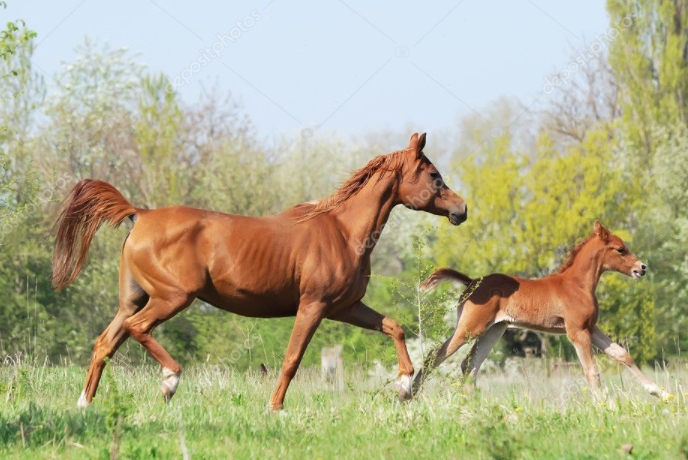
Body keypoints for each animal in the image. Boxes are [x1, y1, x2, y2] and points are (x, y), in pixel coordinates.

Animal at [52, 133, 468, 410]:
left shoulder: (345, 308)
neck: (342, 230)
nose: (461, 209)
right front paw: (275, 408)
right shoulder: (314, 306)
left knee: (105, 343)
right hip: (172, 298)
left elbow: (394, 327)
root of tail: (141, 215)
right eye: (434, 175)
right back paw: (170, 381)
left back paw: (84, 404)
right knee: (137, 330)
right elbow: (292, 359)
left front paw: (405, 386)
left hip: (134, 299)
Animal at [412, 222, 668, 398]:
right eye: (620, 249)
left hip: (494, 330)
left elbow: (622, 354)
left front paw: (661, 393)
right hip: (471, 328)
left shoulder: (591, 328)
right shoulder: (577, 332)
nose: (642, 268)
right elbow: (591, 372)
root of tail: (473, 281)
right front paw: (607, 406)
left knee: (469, 365)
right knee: (435, 356)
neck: (577, 285)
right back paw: (409, 396)